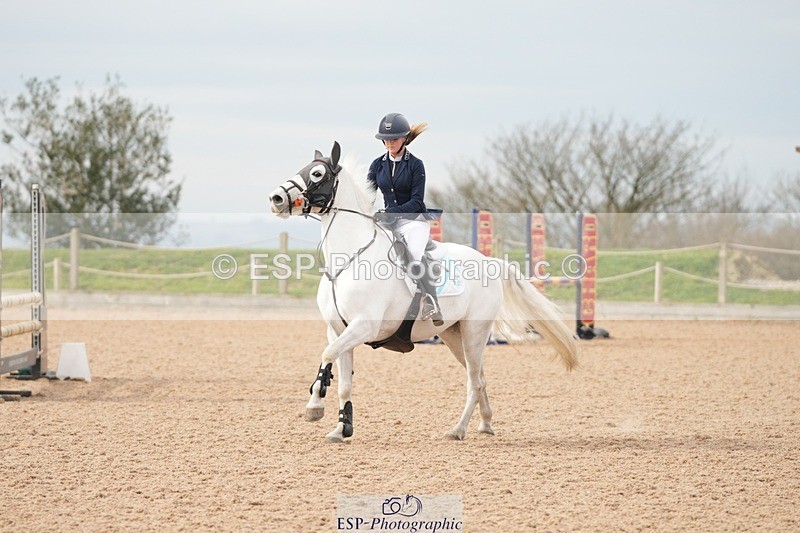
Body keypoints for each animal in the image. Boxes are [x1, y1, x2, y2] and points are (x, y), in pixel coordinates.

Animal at [268, 142, 578, 443]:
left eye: (317, 174)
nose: (276, 199)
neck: (349, 258)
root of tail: (490, 261)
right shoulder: (338, 329)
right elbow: (341, 377)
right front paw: (341, 428)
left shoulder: (364, 326)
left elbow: (327, 354)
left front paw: (314, 407)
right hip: (453, 334)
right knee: (479, 377)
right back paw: (486, 423)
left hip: (474, 332)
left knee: (475, 381)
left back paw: (458, 430)